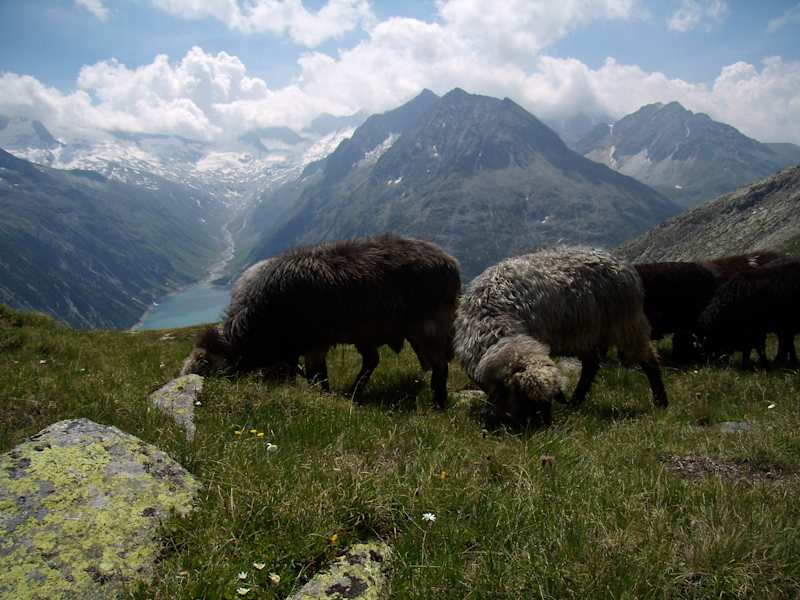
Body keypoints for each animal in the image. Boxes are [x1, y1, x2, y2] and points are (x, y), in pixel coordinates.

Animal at [180, 235, 461, 407]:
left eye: (207, 367)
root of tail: (449, 261)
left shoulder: (315, 344)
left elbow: (318, 378)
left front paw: (324, 399)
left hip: (431, 325)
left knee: (440, 367)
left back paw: (438, 403)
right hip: (367, 332)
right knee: (372, 361)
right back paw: (354, 394)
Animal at [454, 247, 668, 428]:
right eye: (523, 398)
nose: (544, 428)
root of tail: (620, 263)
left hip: (626, 324)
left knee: (649, 361)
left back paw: (661, 402)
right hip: (583, 335)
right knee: (591, 365)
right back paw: (575, 402)